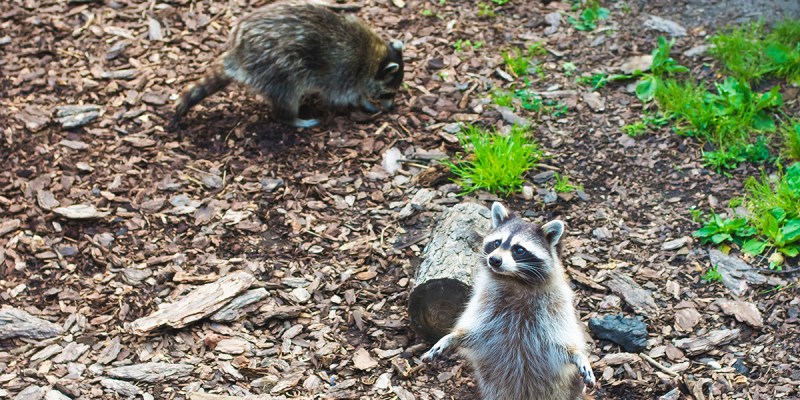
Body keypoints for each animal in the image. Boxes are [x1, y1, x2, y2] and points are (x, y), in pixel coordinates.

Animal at [174, 0, 404, 128]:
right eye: (388, 93)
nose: (392, 108)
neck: (374, 57)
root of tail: (239, 52)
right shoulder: (345, 74)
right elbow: (346, 96)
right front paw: (365, 102)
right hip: (278, 68)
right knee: (287, 95)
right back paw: (293, 119)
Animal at [423, 202, 595, 400]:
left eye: (519, 249)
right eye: (497, 242)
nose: (494, 260)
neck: (514, 281)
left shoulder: (555, 309)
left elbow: (562, 345)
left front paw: (578, 355)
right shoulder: (486, 304)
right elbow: (473, 332)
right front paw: (452, 337)